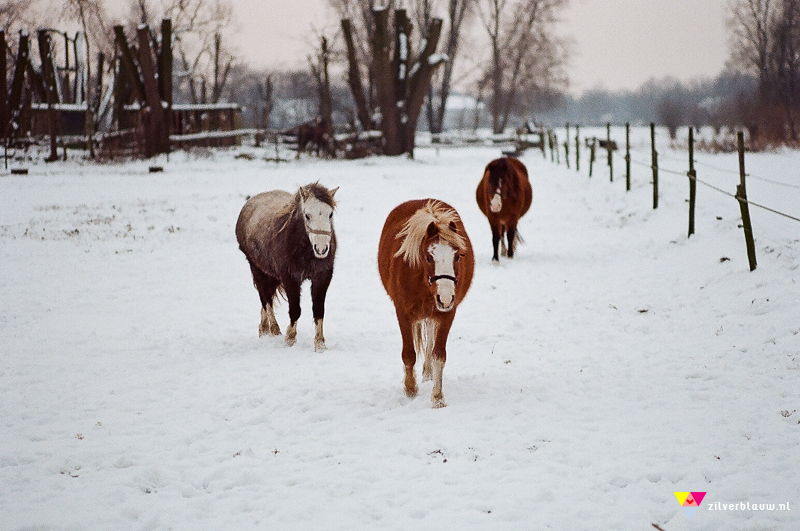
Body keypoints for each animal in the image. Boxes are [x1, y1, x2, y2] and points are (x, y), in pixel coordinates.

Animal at [238, 183, 338, 354]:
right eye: (307, 215)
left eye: (330, 214)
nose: (321, 249)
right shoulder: (290, 278)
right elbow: (295, 309)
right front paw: (289, 339)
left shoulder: (322, 277)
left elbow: (319, 310)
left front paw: (320, 344)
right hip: (257, 269)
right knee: (265, 299)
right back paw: (274, 330)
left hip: (271, 275)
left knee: (267, 298)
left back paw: (264, 329)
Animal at [376, 200, 472, 408]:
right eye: (428, 257)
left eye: (457, 256)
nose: (446, 297)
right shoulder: (403, 312)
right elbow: (408, 353)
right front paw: (410, 389)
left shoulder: (446, 314)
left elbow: (439, 355)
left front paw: (437, 397)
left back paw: (428, 373)